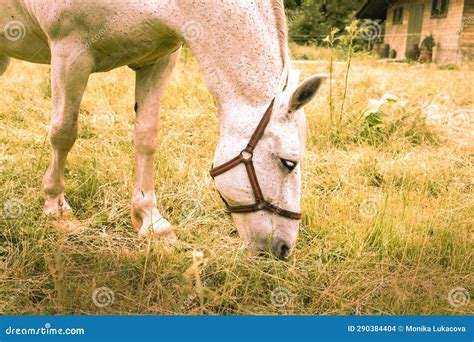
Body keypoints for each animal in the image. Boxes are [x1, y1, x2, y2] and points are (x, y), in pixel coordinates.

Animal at [0, 0, 324, 256]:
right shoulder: (70, 54)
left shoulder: (158, 61)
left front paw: (151, 222)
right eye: (288, 163)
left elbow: (147, 137)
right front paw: (56, 209)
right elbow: (64, 132)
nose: (284, 248)